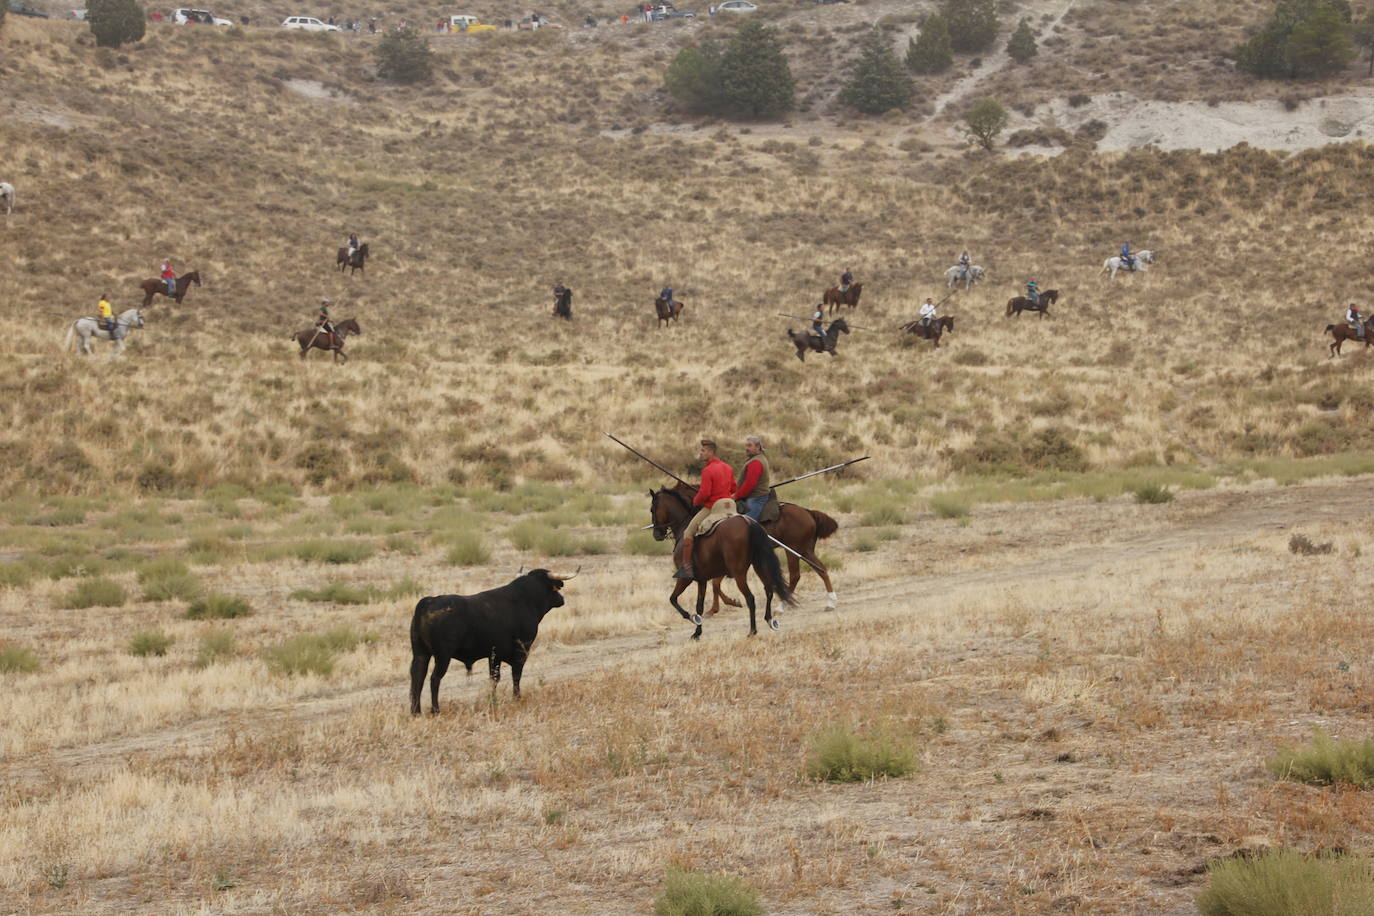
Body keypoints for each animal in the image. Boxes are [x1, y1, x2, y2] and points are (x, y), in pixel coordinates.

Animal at [412, 565, 574, 714]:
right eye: (554, 587)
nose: (562, 599)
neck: (525, 599)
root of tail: (429, 602)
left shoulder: (494, 655)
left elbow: (494, 678)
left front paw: (493, 701)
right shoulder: (521, 650)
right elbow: (515, 674)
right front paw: (516, 698)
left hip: (420, 654)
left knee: (417, 677)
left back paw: (416, 711)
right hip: (442, 657)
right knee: (434, 679)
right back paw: (435, 710)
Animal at [645, 491, 791, 642]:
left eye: (652, 509)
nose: (656, 535)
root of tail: (748, 522)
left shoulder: (685, 579)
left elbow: (673, 599)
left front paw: (692, 618)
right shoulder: (702, 580)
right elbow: (699, 605)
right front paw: (697, 632)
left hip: (739, 573)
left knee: (750, 598)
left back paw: (752, 630)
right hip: (759, 565)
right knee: (769, 590)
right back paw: (770, 620)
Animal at [651, 483, 835, 612]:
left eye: (652, 509)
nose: (657, 534)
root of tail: (808, 512)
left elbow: (716, 584)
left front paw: (725, 604)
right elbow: (715, 584)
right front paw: (720, 606)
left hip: (793, 550)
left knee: (795, 575)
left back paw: (782, 605)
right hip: (805, 550)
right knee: (822, 569)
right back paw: (831, 602)